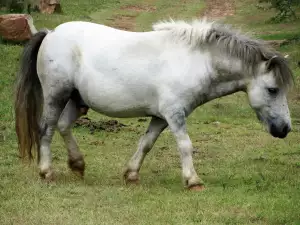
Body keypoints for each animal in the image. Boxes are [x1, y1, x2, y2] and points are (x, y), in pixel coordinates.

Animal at [14, 18, 292, 190]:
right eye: (273, 89)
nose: (285, 129)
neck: (196, 61)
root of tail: (50, 33)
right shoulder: (175, 114)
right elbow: (185, 146)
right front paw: (193, 181)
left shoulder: (161, 117)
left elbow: (146, 144)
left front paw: (131, 174)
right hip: (56, 95)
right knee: (46, 129)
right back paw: (47, 172)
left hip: (76, 100)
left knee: (63, 126)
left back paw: (77, 165)